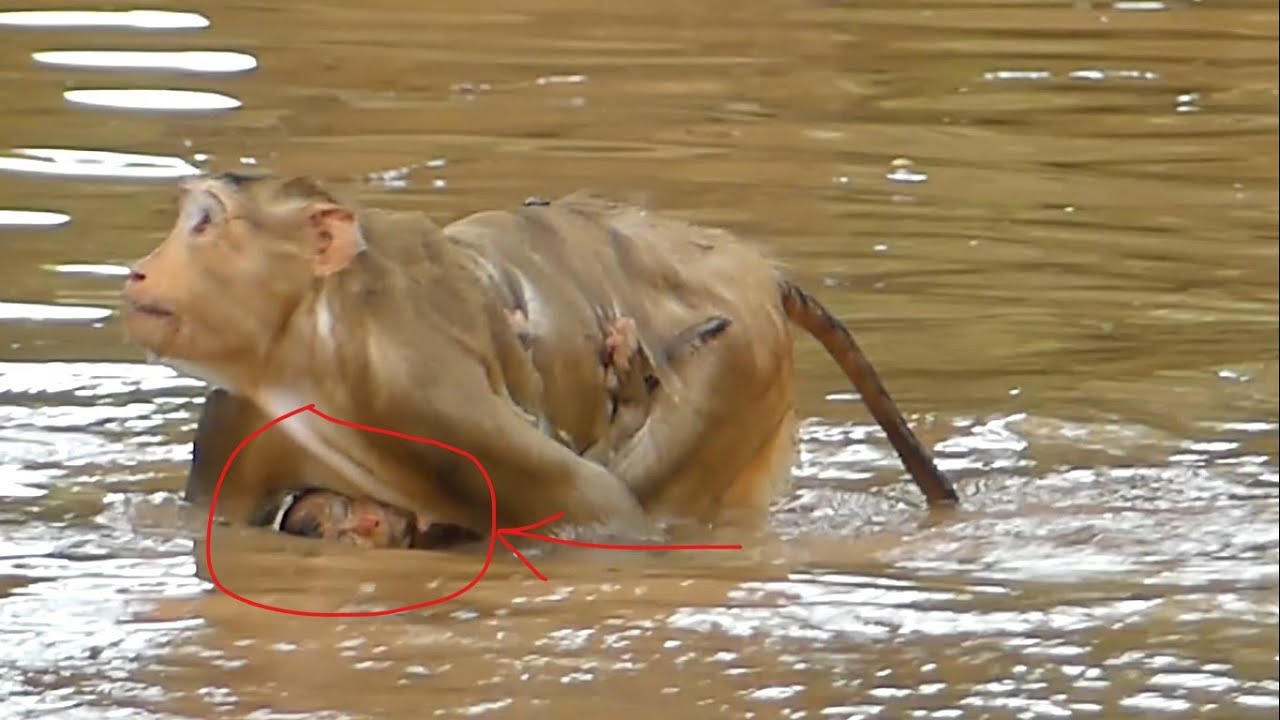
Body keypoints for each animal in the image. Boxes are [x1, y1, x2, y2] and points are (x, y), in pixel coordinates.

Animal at [129, 173, 957, 547]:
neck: (308, 350)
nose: (140, 269)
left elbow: (600, 511)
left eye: (203, 222)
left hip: (740, 363)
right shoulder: (239, 413)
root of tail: (759, 269)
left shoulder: (423, 391)